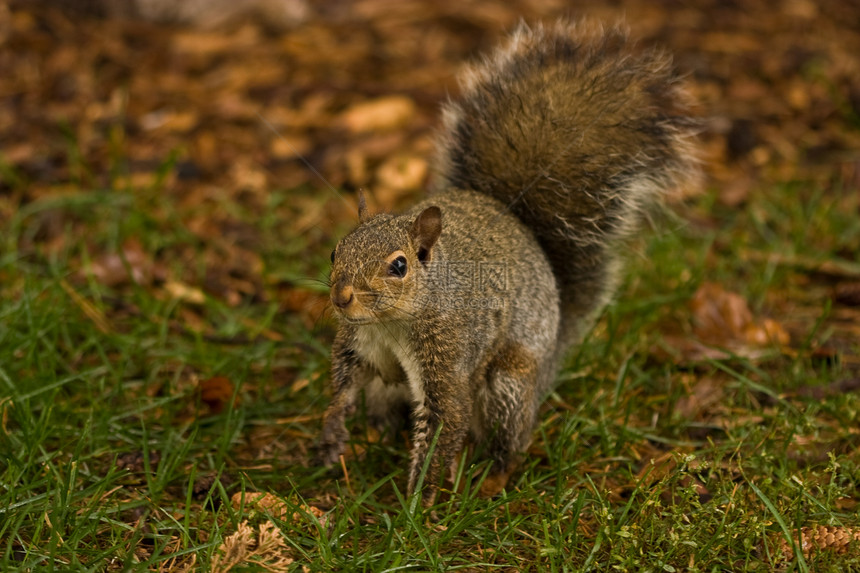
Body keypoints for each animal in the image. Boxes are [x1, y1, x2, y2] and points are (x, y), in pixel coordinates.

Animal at [316, 21, 700, 496]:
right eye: (335, 250)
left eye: (399, 266)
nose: (341, 298)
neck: (390, 323)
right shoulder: (356, 344)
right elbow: (343, 385)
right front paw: (332, 432)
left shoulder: (449, 353)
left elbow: (447, 420)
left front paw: (417, 501)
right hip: (391, 391)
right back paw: (376, 435)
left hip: (508, 384)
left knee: (509, 443)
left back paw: (492, 478)